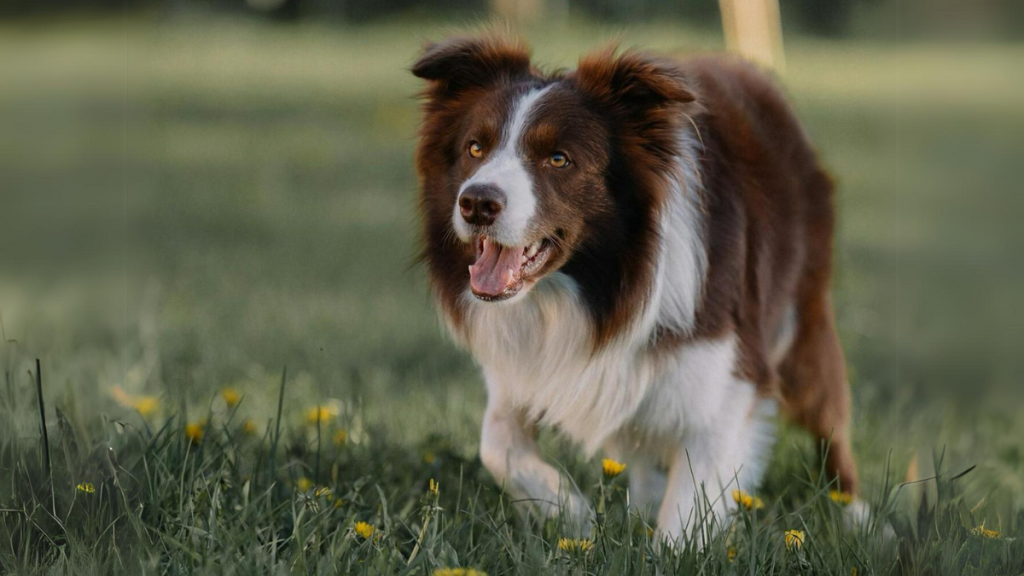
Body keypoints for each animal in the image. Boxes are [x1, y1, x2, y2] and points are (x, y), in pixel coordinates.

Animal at [411, 36, 860, 541]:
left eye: (559, 159)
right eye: (475, 148)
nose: (477, 203)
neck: (593, 288)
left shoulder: (728, 375)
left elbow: (689, 507)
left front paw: (659, 544)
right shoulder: (523, 362)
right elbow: (497, 444)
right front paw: (577, 519)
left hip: (801, 314)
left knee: (829, 417)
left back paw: (861, 519)